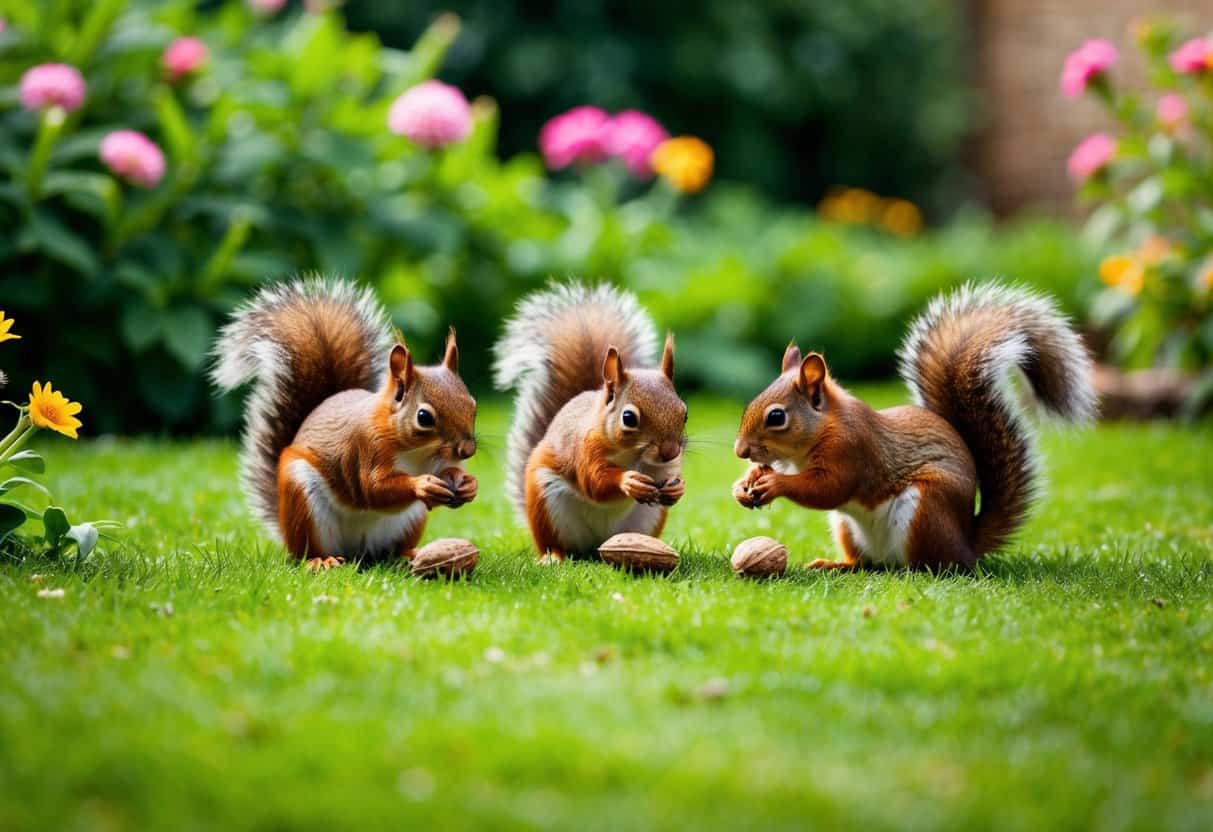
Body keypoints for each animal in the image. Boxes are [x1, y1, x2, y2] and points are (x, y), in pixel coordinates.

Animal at [211, 278, 478, 571]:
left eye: (473, 405)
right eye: (424, 417)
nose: (467, 450)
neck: (416, 453)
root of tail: (357, 552)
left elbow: (448, 471)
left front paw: (468, 483)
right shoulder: (368, 448)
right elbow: (374, 489)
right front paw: (422, 485)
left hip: (410, 520)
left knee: (391, 550)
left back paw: (409, 554)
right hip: (302, 500)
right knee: (306, 550)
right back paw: (320, 560)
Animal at [493, 282, 688, 562]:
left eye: (684, 413)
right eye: (628, 418)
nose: (670, 452)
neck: (632, 455)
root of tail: (596, 546)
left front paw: (677, 488)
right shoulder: (584, 449)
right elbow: (594, 482)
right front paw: (627, 481)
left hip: (646, 518)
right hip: (546, 505)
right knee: (553, 543)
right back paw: (553, 557)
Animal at [733, 282, 1097, 571]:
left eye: (776, 417)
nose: (740, 451)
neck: (822, 429)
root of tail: (967, 543)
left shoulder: (852, 449)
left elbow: (829, 488)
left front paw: (775, 483)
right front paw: (746, 481)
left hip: (926, 510)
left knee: (933, 566)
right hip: (847, 527)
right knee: (865, 564)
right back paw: (837, 565)